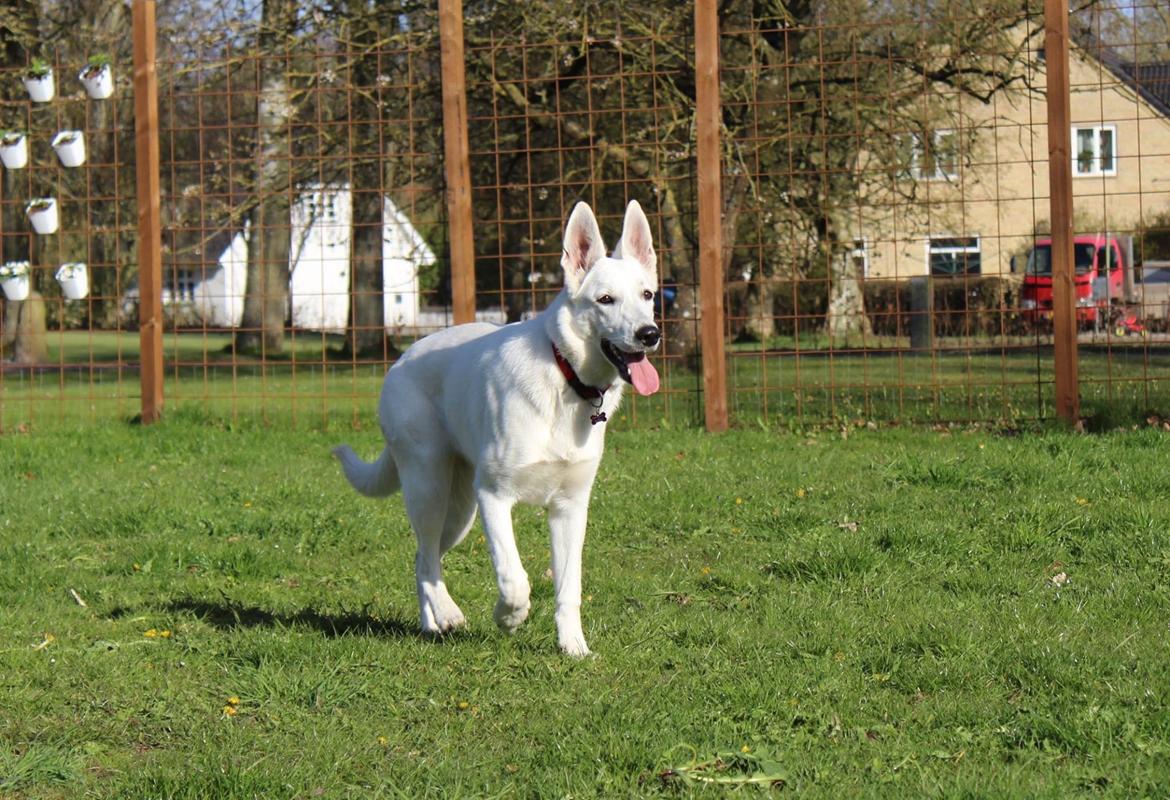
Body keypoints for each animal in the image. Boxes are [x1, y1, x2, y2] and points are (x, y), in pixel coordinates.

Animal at [334, 201, 664, 654]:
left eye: (647, 295)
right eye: (605, 300)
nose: (650, 334)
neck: (564, 377)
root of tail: (400, 361)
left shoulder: (570, 508)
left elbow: (569, 587)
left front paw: (573, 647)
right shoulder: (494, 497)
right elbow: (514, 576)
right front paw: (509, 617)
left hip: (459, 512)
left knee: (422, 557)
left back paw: (430, 624)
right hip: (431, 489)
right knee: (426, 558)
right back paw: (448, 614)